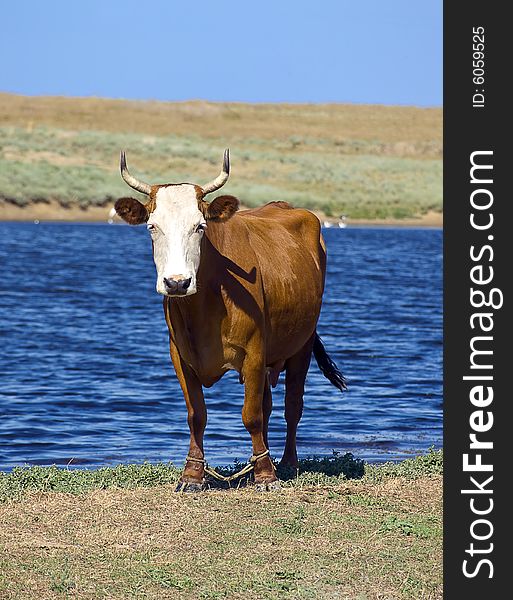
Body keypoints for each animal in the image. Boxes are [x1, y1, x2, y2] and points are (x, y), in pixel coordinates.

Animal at [114, 150, 346, 492]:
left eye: (200, 226)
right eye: (152, 227)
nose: (177, 282)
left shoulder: (254, 352)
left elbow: (251, 415)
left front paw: (266, 476)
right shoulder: (179, 356)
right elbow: (197, 415)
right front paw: (192, 475)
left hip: (301, 345)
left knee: (292, 406)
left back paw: (286, 463)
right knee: (269, 406)